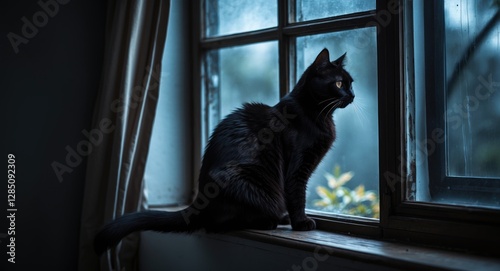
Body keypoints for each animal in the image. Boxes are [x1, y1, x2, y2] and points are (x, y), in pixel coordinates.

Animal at [94, 48, 356, 255]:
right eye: (339, 83)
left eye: (351, 82)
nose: (352, 95)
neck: (316, 114)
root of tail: (197, 205)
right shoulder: (297, 166)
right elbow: (296, 194)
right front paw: (301, 223)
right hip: (248, 183)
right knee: (221, 224)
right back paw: (271, 220)